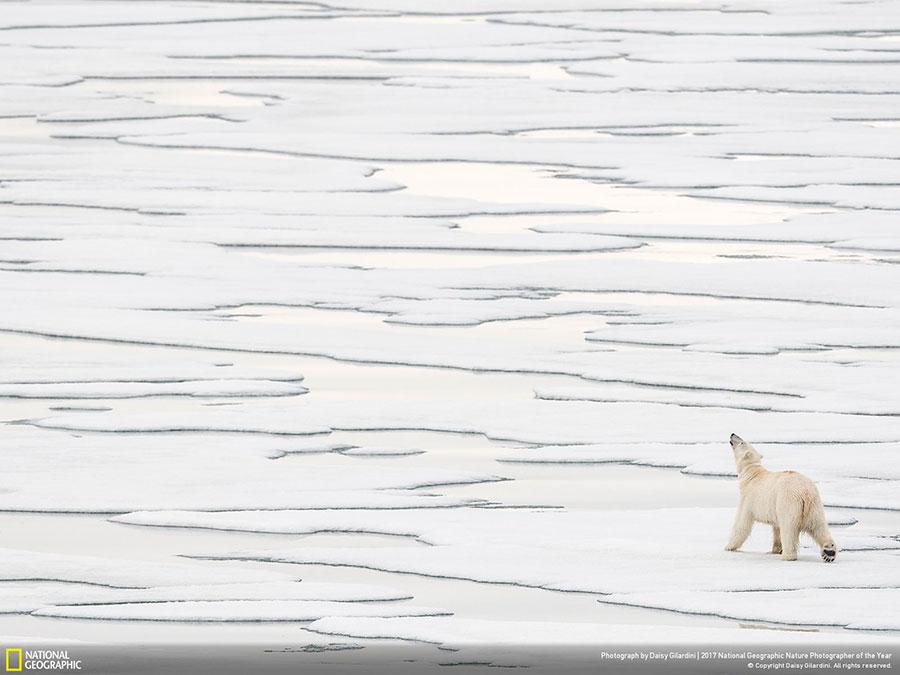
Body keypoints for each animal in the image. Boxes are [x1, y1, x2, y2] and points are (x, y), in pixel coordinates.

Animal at [724, 436, 836, 564]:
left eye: (742, 442)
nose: (732, 434)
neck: (751, 475)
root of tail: (805, 491)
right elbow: (776, 527)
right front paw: (774, 550)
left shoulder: (748, 498)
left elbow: (742, 522)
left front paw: (729, 546)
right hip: (815, 505)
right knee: (818, 526)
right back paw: (829, 552)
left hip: (788, 502)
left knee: (788, 529)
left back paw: (787, 556)